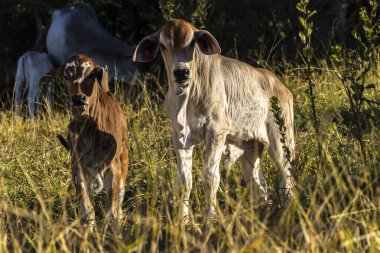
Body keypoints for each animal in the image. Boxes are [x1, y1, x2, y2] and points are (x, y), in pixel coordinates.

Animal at [62, 54, 127, 228]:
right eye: (66, 77)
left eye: (91, 75)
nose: (78, 98)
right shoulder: (77, 167)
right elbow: (87, 210)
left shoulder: (114, 168)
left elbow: (112, 212)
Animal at [134, 19, 296, 221]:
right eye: (163, 46)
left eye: (192, 43)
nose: (181, 72)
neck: (186, 99)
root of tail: (282, 87)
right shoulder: (179, 137)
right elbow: (184, 181)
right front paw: (183, 220)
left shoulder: (216, 132)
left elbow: (210, 177)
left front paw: (209, 219)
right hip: (250, 148)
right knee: (258, 184)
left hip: (281, 143)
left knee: (286, 177)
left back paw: (287, 210)